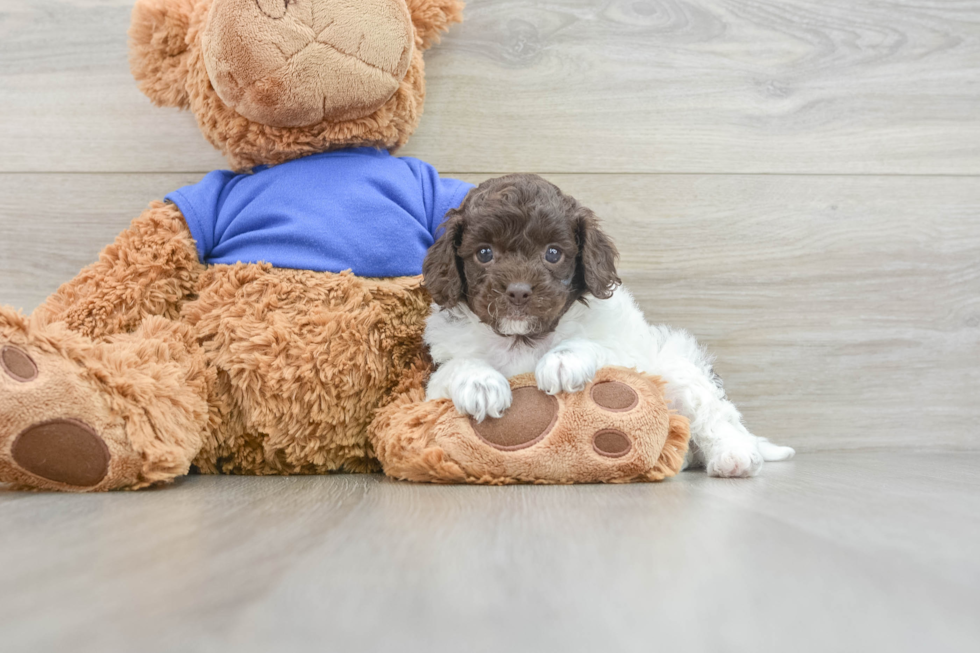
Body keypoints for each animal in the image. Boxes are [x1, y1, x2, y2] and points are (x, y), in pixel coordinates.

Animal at [424, 173, 796, 478]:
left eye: (553, 253)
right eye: (484, 253)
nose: (518, 291)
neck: (523, 339)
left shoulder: (628, 354)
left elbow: (592, 346)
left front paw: (562, 361)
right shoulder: (435, 382)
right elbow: (458, 367)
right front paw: (480, 383)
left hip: (678, 367)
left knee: (717, 417)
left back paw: (735, 457)